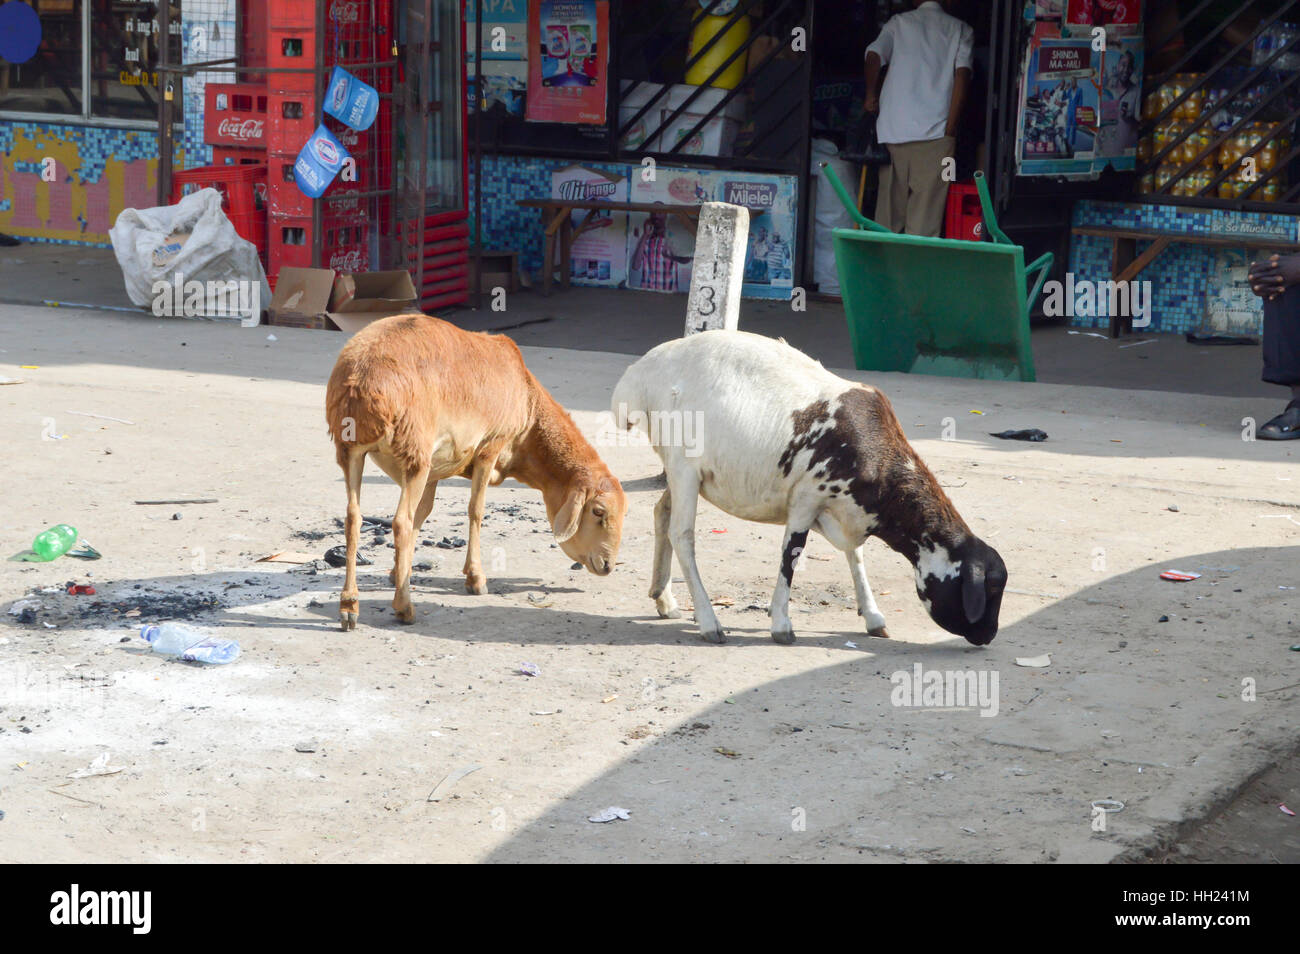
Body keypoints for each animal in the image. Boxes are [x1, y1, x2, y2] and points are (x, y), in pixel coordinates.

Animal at [327, 314, 626, 631]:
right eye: (598, 511)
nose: (608, 565)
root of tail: (362, 383)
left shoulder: (432, 472)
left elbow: (423, 514)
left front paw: (398, 573)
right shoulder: (489, 448)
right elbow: (475, 511)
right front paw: (475, 578)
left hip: (351, 449)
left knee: (353, 518)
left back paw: (349, 606)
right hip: (414, 450)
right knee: (400, 523)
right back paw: (404, 608)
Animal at [613, 330, 1008, 649]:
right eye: (989, 589)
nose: (989, 635)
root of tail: (639, 374)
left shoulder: (843, 509)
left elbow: (855, 556)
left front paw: (873, 616)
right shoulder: (806, 498)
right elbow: (792, 554)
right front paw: (781, 625)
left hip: (681, 471)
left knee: (661, 513)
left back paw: (664, 599)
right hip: (683, 466)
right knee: (682, 534)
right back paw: (710, 622)